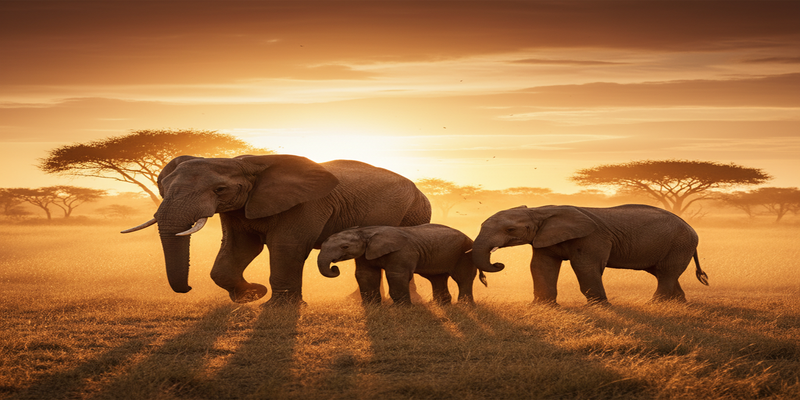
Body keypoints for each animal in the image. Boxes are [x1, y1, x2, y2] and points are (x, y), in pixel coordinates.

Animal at [122, 154, 431, 304]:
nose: (187, 288)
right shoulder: (239, 207)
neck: (244, 163)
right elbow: (239, 248)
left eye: (219, 190)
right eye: (163, 187)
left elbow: (287, 247)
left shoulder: (305, 204)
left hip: (413, 213)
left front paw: (275, 306)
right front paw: (251, 296)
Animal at [318, 224, 487, 305]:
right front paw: (372, 307)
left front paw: (401, 308)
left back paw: (465, 305)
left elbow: (396, 275)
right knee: (437, 279)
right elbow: (365, 275)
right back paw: (442, 305)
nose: (335, 268)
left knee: (462, 279)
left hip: (465, 254)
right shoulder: (364, 253)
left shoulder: (402, 252)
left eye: (344, 247)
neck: (365, 231)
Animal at [472, 204, 709, 305]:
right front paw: (543, 306)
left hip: (680, 244)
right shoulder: (543, 237)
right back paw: (678, 304)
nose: (499, 264)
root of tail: (691, 227)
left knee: (666, 272)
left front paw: (600, 307)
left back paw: (656, 305)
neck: (540, 210)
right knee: (662, 273)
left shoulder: (591, 238)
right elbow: (541, 266)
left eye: (510, 230)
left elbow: (584, 267)